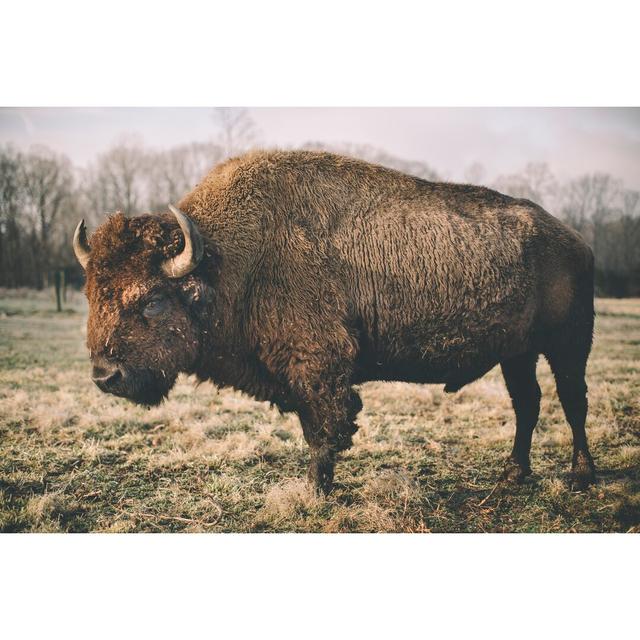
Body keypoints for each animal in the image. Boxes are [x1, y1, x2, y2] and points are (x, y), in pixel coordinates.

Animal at [72, 150, 596, 496]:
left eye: (152, 300)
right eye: (91, 294)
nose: (105, 376)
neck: (228, 260)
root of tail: (575, 240)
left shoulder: (319, 367)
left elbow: (323, 432)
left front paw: (315, 493)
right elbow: (315, 429)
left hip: (568, 344)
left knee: (572, 401)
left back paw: (581, 475)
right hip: (517, 353)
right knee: (528, 403)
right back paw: (513, 474)